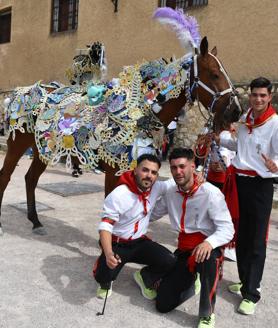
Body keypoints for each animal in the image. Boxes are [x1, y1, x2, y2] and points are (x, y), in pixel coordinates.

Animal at [0, 8, 241, 236]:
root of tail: (20, 93)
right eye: (214, 74)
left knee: (30, 178)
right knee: (6, 176)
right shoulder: (113, 169)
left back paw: (36, 221)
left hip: (42, 150)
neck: (141, 112)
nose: (236, 111)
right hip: (17, 146)